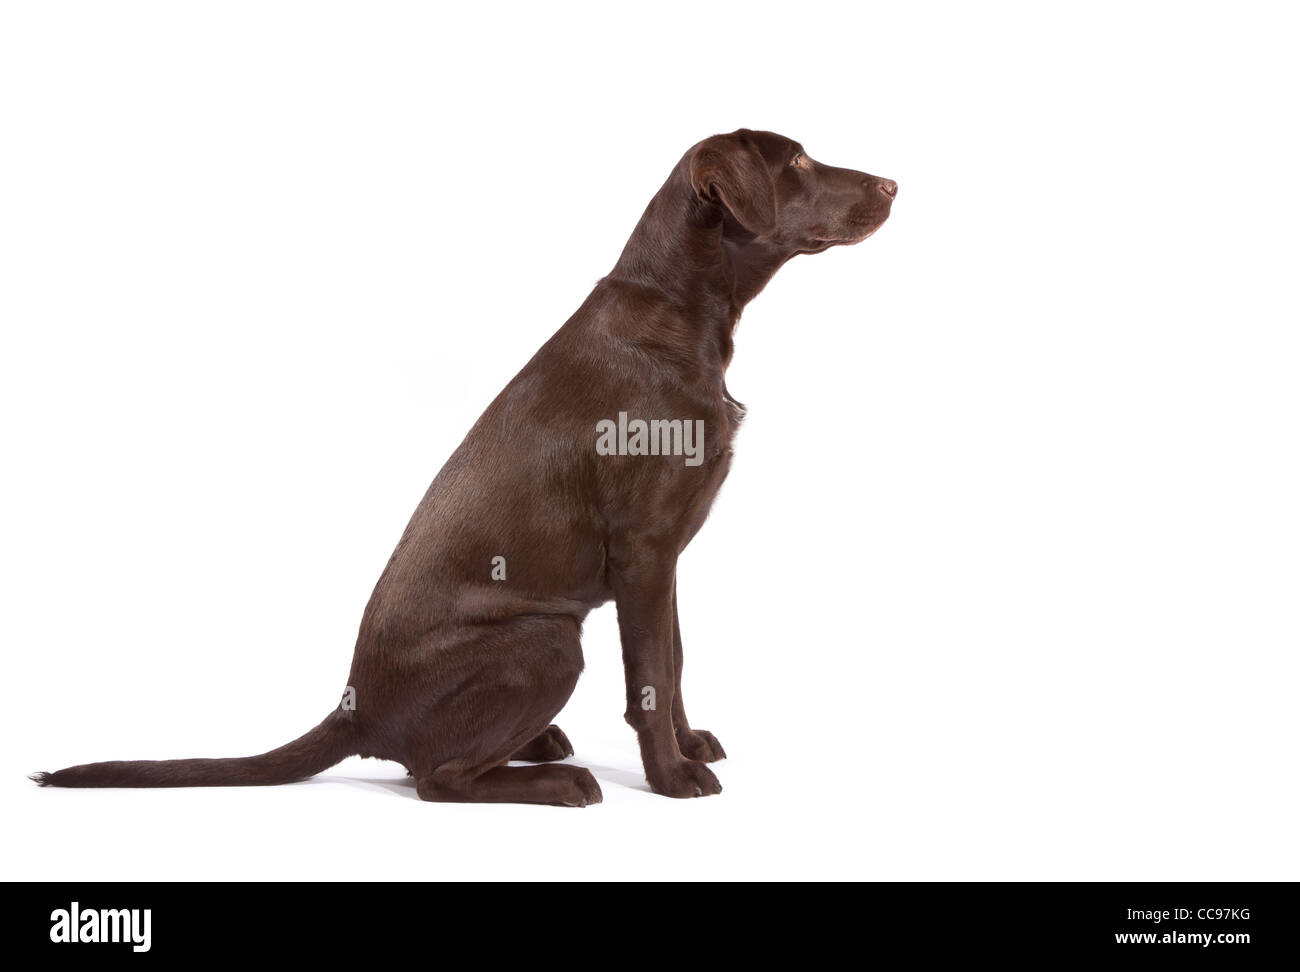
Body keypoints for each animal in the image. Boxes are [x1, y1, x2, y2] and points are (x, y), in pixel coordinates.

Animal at [35, 133, 899, 810]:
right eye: (798, 161)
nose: (893, 184)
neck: (680, 307)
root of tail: (356, 711)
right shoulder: (646, 550)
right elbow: (651, 677)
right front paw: (671, 778)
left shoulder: (667, 561)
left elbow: (676, 665)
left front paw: (690, 747)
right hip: (548, 640)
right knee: (435, 777)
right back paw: (558, 780)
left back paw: (544, 744)